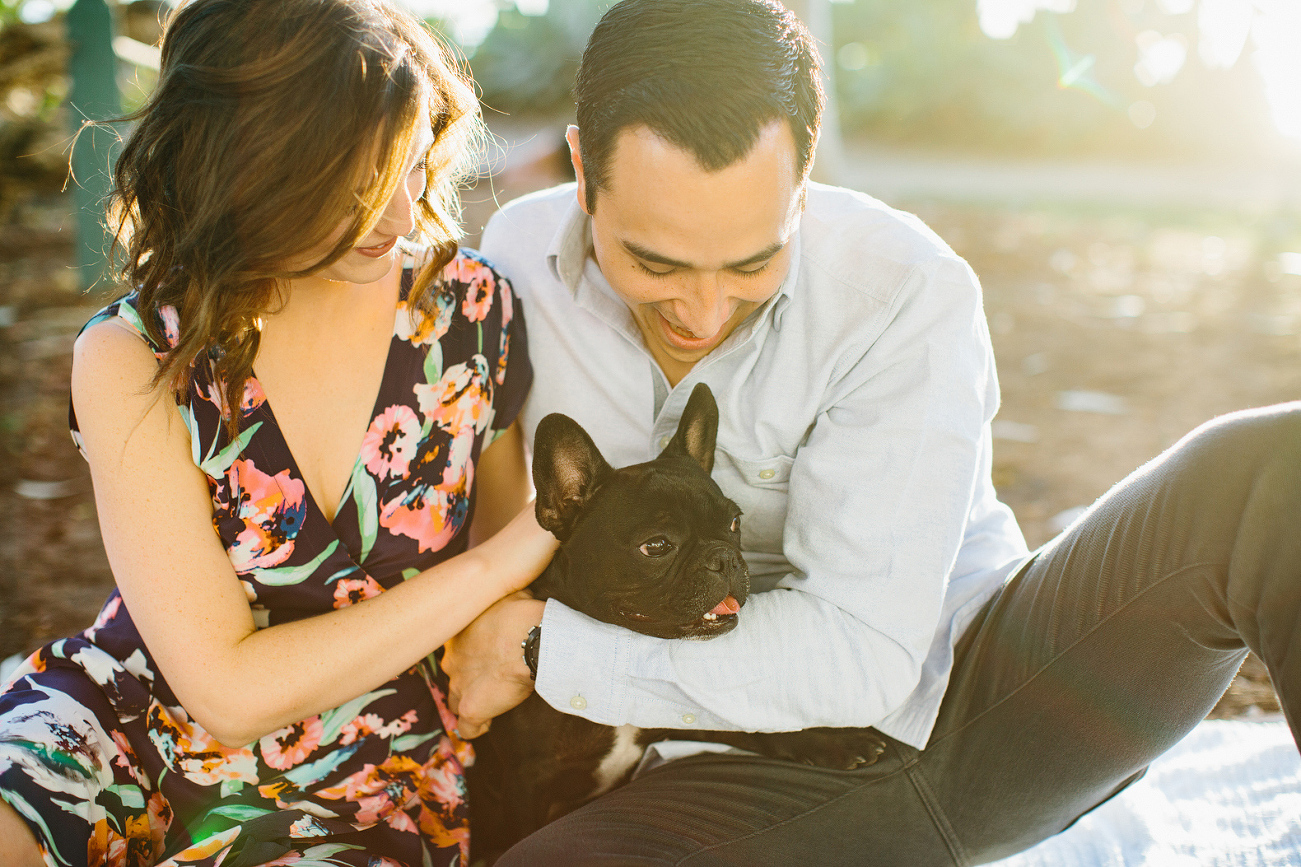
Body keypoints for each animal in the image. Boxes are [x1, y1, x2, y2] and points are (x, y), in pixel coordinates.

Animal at [468, 382, 884, 859]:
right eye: (657, 546)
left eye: (735, 522)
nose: (724, 558)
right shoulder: (526, 782)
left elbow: (752, 725)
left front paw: (832, 739)